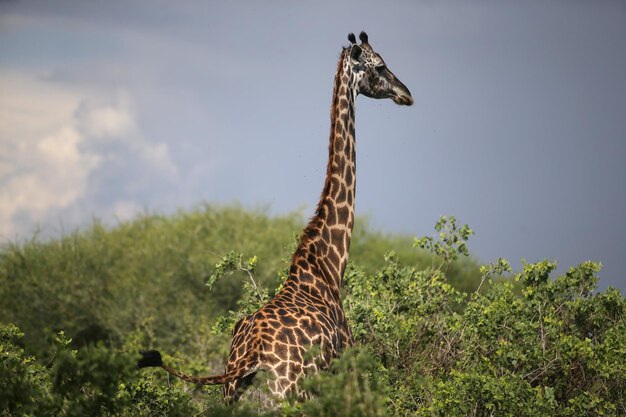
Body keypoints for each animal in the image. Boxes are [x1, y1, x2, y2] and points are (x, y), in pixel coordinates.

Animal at [138, 32, 410, 404]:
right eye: (380, 66)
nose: (406, 93)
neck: (327, 267)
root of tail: (251, 354)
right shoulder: (347, 367)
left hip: (234, 395)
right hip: (293, 392)